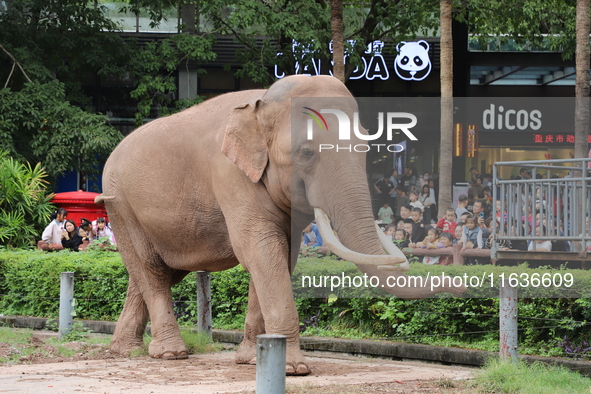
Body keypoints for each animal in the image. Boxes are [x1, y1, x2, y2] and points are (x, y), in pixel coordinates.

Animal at [98, 74, 462, 376]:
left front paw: (252, 358)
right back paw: (171, 354)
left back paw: (125, 351)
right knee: (151, 270)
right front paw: (293, 369)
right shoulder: (231, 175)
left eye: (366, 149)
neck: (262, 103)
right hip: (120, 204)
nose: (459, 285)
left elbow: (282, 255)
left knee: (154, 272)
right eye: (306, 153)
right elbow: (260, 249)